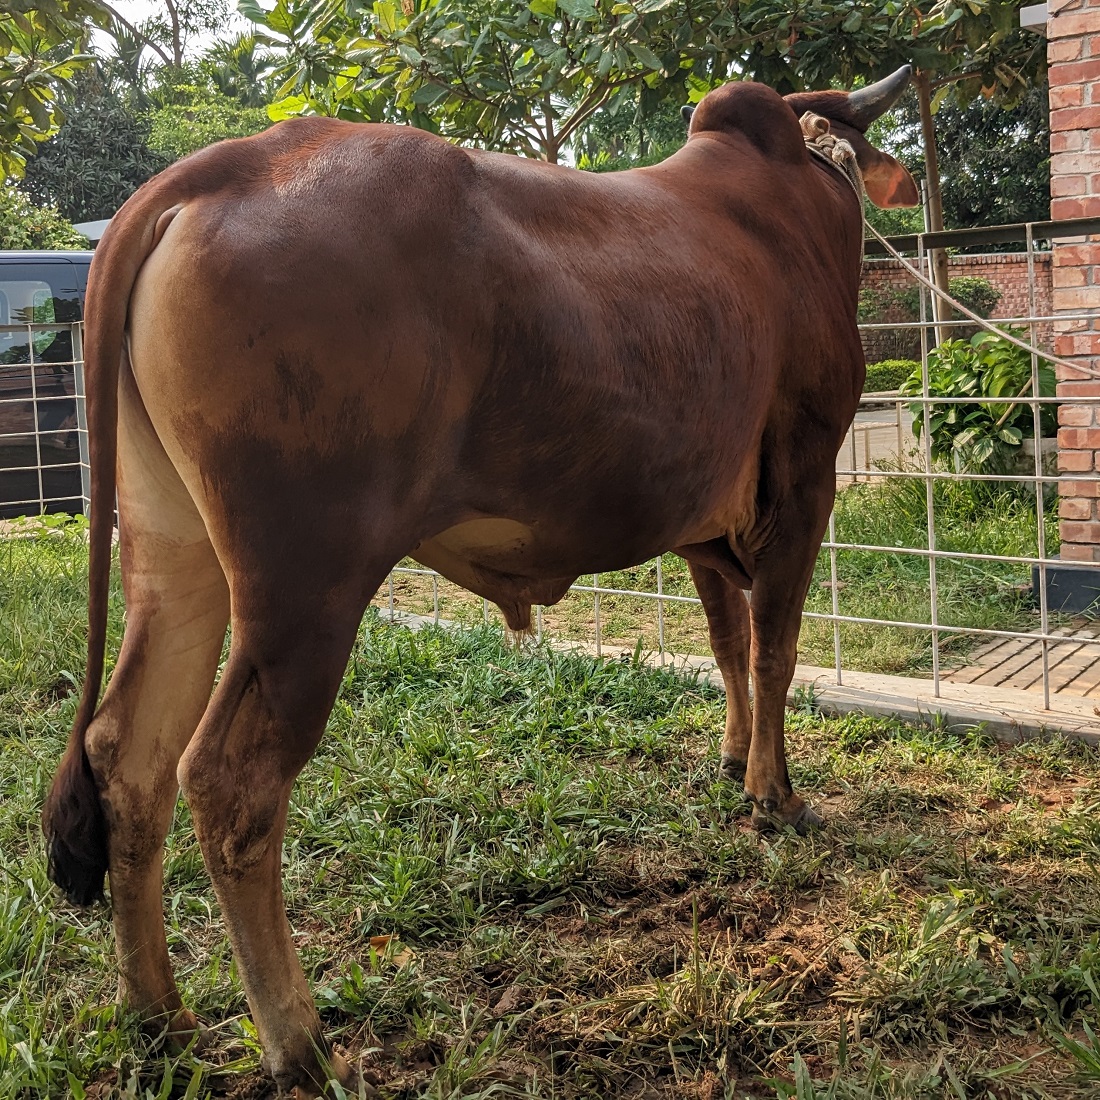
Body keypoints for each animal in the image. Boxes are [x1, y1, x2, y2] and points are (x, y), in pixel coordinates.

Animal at [42, 70, 919, 1091]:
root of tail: (208, 171)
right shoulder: (805, 477)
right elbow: (776, 648)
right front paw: (775, 794)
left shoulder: (704, 524)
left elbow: (729, 645)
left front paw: (735, 759)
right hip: (306, 585)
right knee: (229, 781)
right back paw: (303, 1045)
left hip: (172, 551)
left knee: (126, 755)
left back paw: (159, 1015)